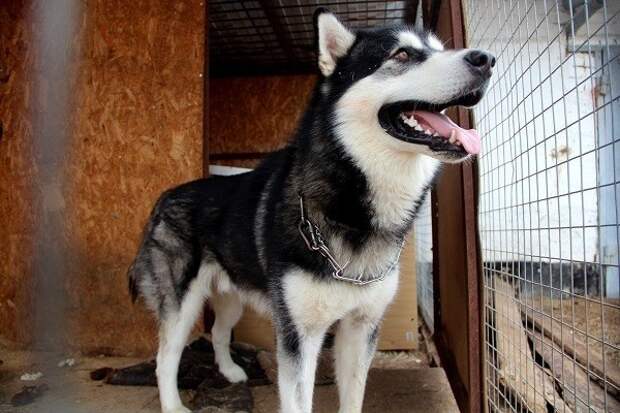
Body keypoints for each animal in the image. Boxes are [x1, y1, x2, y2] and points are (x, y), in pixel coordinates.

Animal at [128, 9, 496, 412]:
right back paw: (174, 403)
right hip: (181, 303)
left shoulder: (361, 328)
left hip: (231, 296)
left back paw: (231, 372)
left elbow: (353, 397)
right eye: (401, 54)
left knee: (219, 331)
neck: (350, 208)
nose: (486, 59)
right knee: (166, 357)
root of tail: (165, 196)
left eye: (439, 49)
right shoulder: (298, 334)